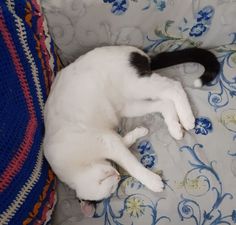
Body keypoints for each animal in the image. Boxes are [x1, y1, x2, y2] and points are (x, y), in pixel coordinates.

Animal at [43, 45, 220, 202]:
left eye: (104, 180)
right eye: (111, 187)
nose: (117, 175)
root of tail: (138, 53)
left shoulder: (106, 141)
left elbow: (131, 165)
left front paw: (152, 181)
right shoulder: (111, 137)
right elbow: (124, 141)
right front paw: (140, 132)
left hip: (137, 85)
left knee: (174, 87)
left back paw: (187, 118)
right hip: (128, 105)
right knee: (165, 103)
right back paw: (175, 127)